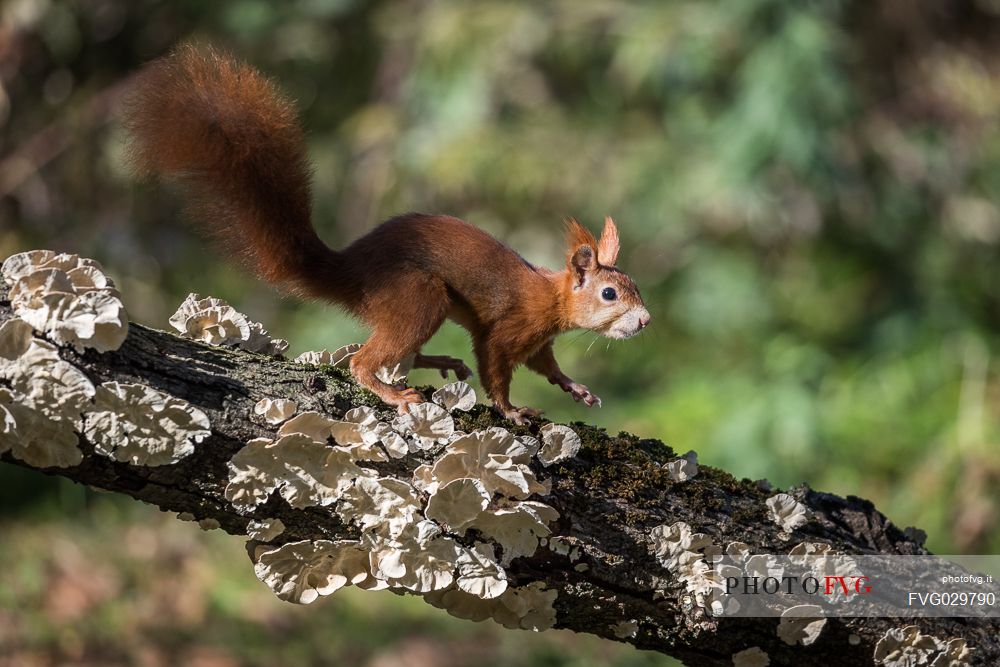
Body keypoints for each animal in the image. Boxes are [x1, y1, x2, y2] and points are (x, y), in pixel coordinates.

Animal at [123, 47, 648, 426]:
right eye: (608, 293)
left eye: (633, 286)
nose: (644, 322)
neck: (553, 299)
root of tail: (348, 272)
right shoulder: (509, 330)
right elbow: (496, 368)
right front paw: (512, 410)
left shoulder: (539, 342)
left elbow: (548, 368)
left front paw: (575, 388)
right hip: (418, 295)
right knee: (362, 361)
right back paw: (395, 394)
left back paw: (437, 362)